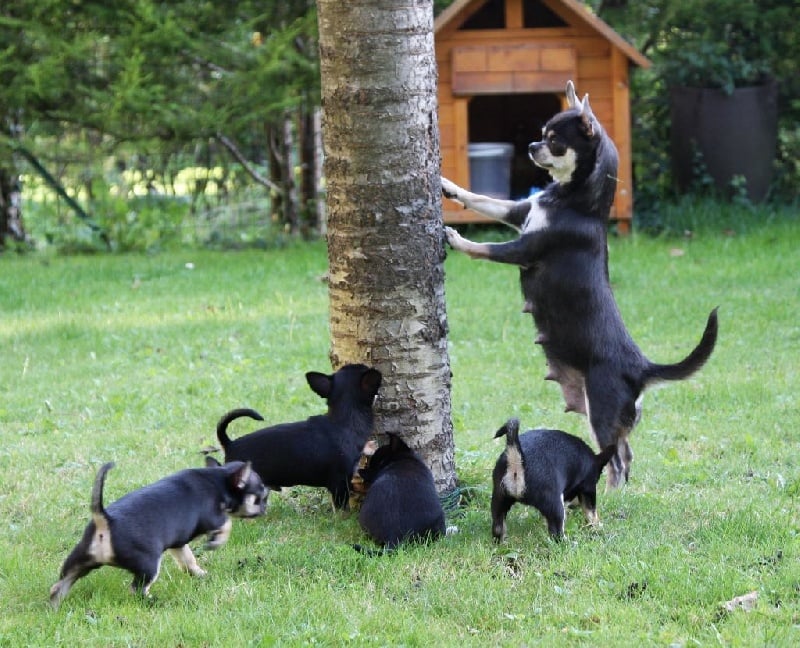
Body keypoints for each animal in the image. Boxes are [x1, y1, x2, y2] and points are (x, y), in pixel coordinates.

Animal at [50, 458, 268, 604]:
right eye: (261, 496)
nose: (266, 508)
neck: (219, 480)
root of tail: (105, 521)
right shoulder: (214, 518)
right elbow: (226, 524)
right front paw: (216, 541)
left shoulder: (178, 543)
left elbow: (188, 560)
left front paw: (199, 573)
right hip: (149, 566)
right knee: (136, 589)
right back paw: (152, 600)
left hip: (79, 561)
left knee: (58, 586)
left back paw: (54, 606)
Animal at [444, 79, 720, 486]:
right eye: (542, 134)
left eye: (554, 140)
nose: (531, 146)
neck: (572, 199)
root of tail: (642, 366)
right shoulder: (518, 213)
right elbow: (481, 199)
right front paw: (447, 185)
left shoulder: (524, 248)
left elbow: (487, 248)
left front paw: (456, 238)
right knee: (627, 456)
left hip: (601, 412)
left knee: (617, 460)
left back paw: (608, 494)